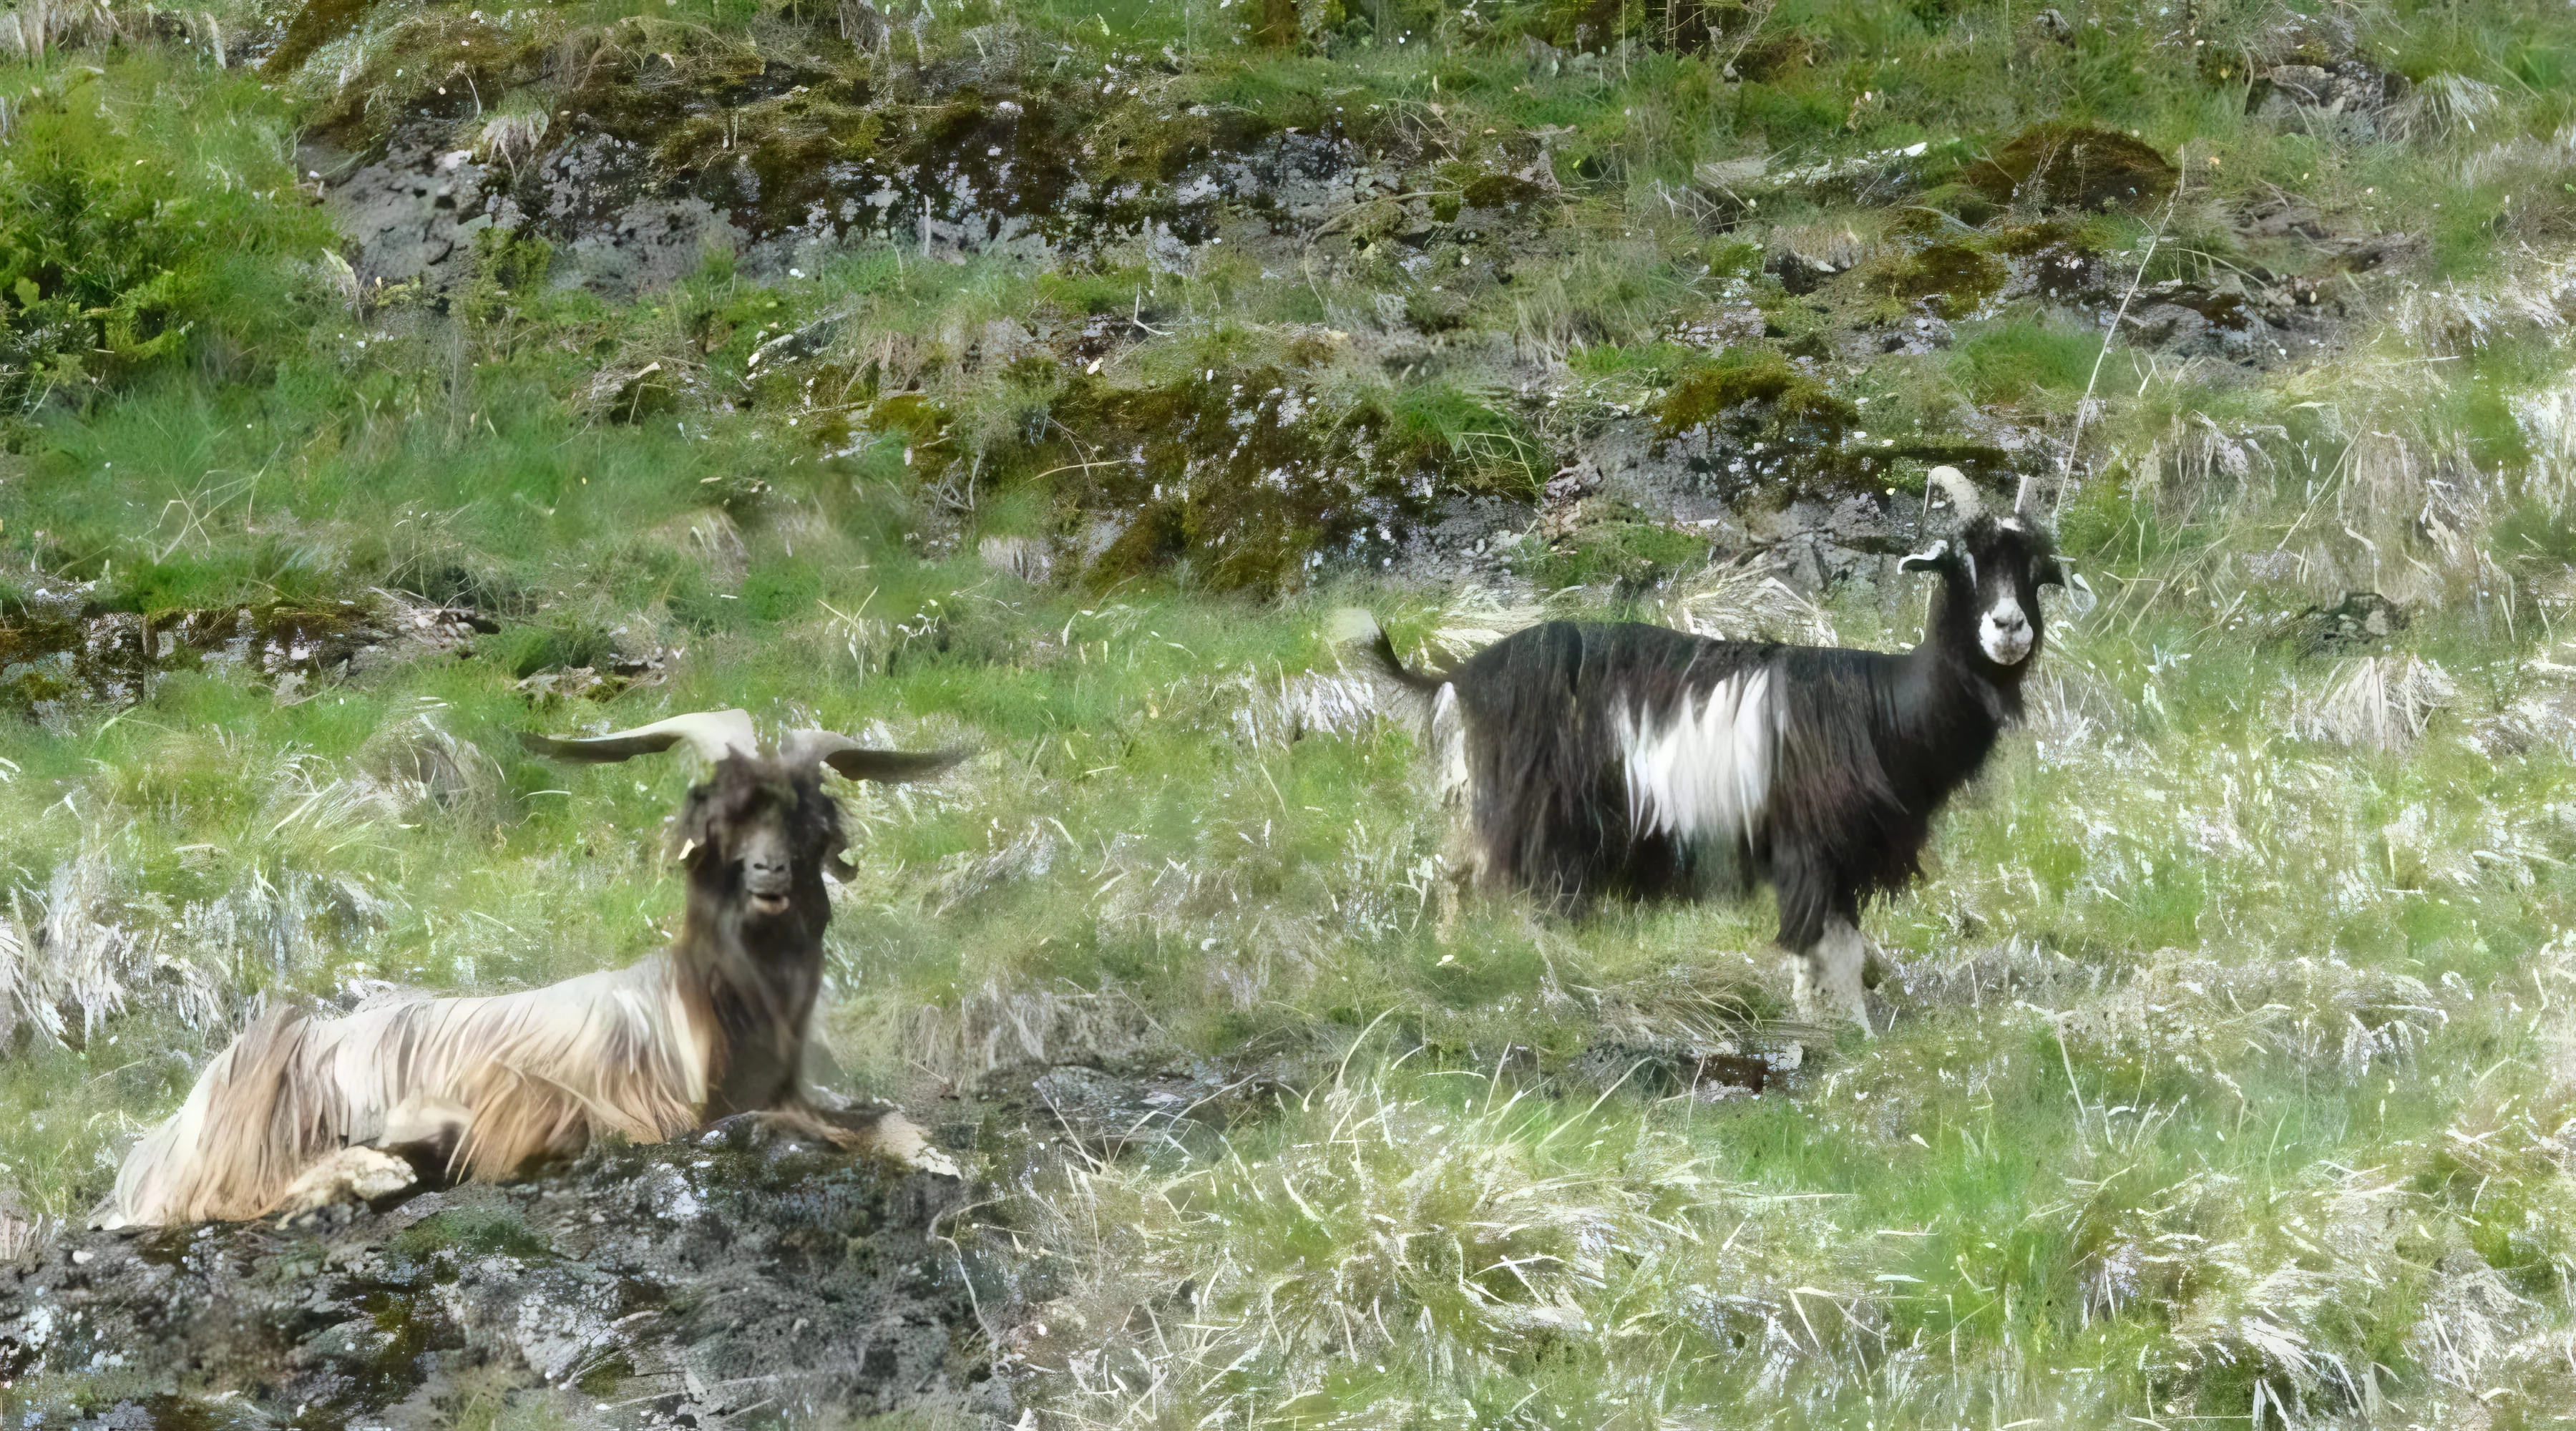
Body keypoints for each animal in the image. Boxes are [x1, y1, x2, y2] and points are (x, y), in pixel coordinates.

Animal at [93, 711, 962, 1229]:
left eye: (810, 819)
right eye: (719, 818)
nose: (769, 874)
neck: (698, 1007)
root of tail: (157, 1146)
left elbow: (879, 1117)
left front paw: (935, 1154)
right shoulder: (628, 1104)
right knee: (228, 1198)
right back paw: (369, 1173)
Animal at [1340, 470, 2094, 1033]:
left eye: (2037, 571)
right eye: (1958, 564)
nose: (2008, 628)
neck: (1885, 710)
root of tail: (1454, 678)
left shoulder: (1837, 861)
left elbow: (1832, 953)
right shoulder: (1811, 847)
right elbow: (1831, 954)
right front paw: (1848, 1034)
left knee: (1454, 872)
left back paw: (1457, 962)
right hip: (1536, 815)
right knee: (1496, 889)